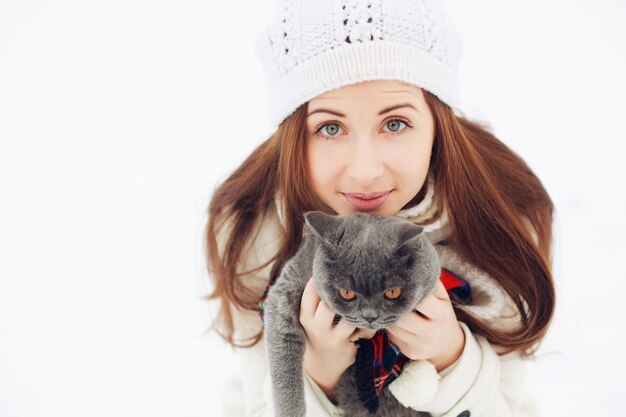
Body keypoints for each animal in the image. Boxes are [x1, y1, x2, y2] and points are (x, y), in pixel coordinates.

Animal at [262, 211, 438, 416]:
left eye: (393, 292)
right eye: (346, 293)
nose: (369, 316)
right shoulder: (286, 291)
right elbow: (284, 354)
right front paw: (290, 410)